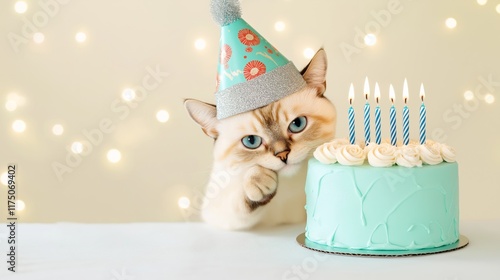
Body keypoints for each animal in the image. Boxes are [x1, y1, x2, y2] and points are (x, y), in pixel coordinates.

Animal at [184, 48, 336, 230]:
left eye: (298, 124)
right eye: (251, 141)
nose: (283, 154)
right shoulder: (215, 212)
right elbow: (237, 205)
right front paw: (258, 179)